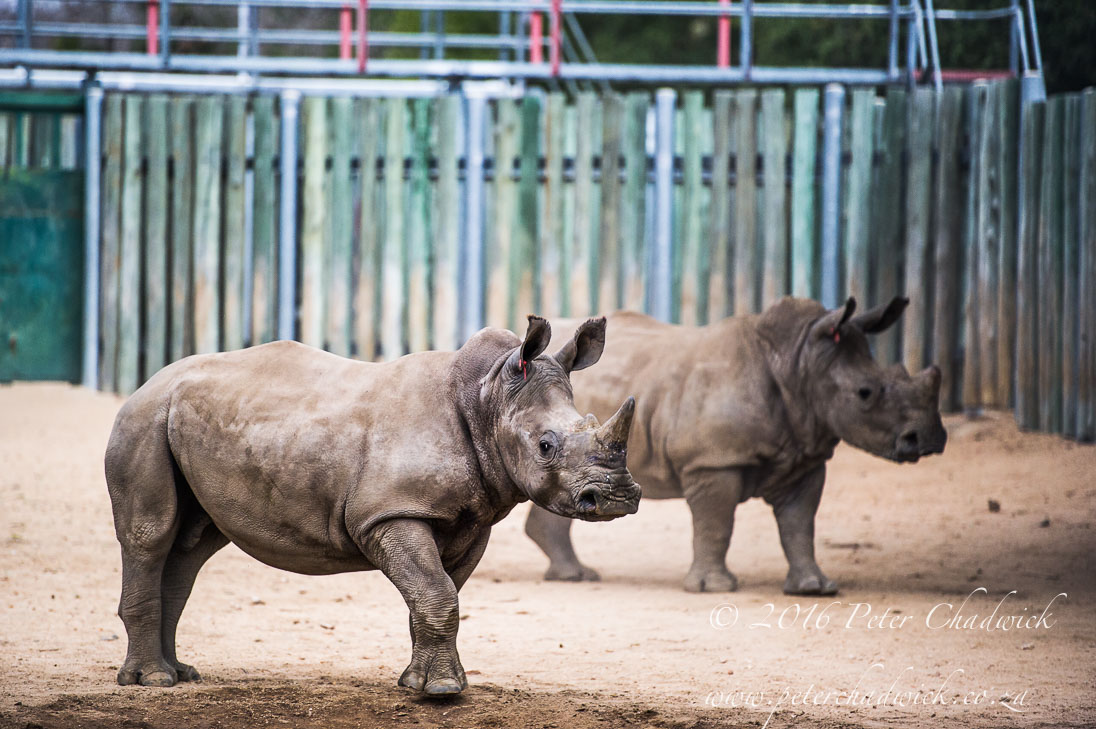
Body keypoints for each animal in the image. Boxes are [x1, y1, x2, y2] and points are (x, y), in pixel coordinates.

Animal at [105, 315, 640, 696]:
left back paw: (181, 674)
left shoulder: (471, 520)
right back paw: (151, 682)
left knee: (193, 546)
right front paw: (443, 691)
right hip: (144, 419)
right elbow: (438, 594)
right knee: (151, 535)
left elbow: (440, 595)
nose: (616, 498)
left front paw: (423, 683)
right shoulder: (389, 512)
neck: (486, 397)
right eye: (546, 446)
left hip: (184, 420)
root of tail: (149, 381)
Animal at [524, 296, 946, 595]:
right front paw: (714, 588)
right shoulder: (713, 462)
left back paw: (576, 576)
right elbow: (717, 524)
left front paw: (815, 588)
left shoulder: (805, 457)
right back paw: (576, 576)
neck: (798, 363)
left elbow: (800, 525)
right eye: (865, 394)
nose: (929, 439)